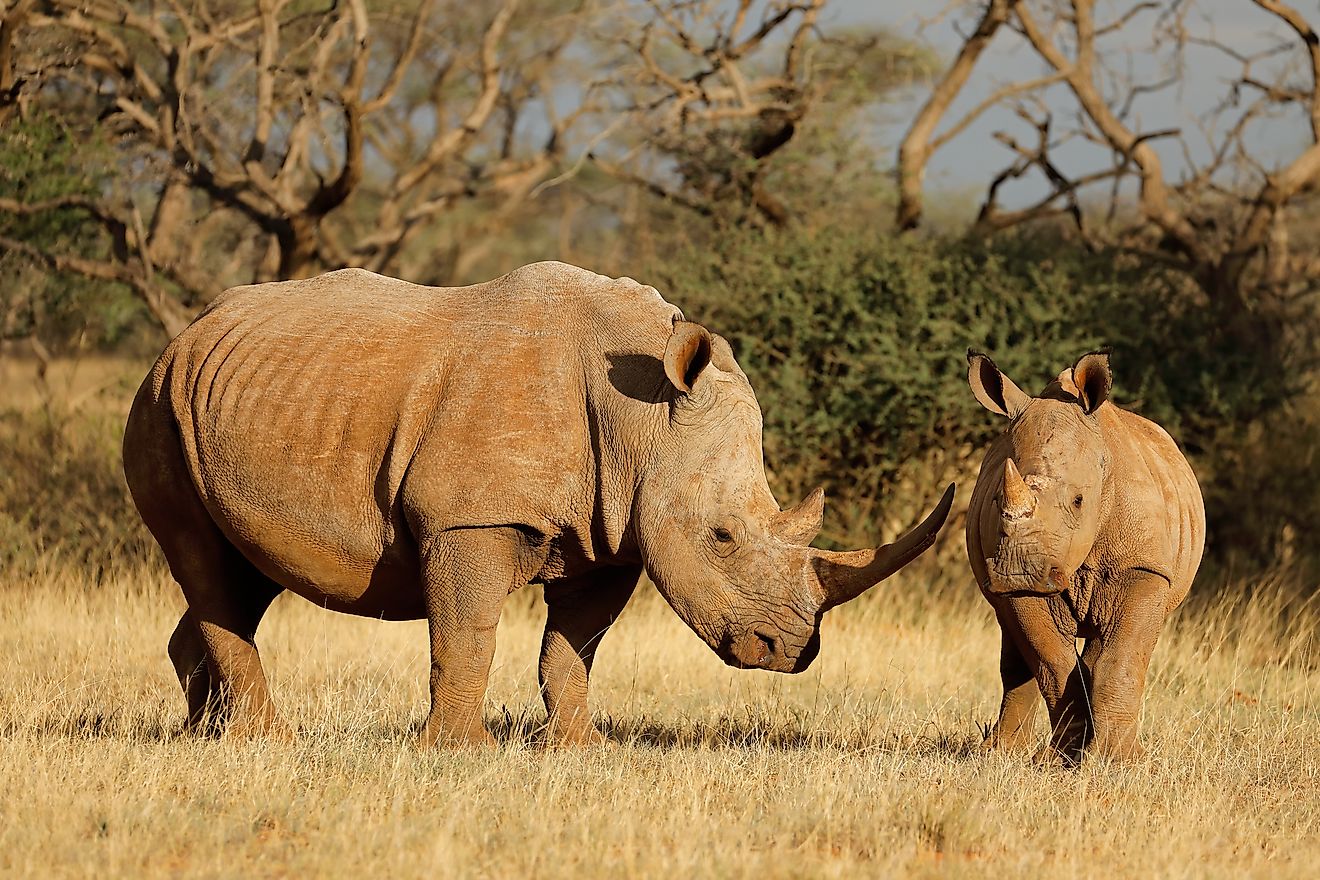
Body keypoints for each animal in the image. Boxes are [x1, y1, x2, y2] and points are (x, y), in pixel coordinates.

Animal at [124, 263, 950, 749]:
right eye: (721, 536)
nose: (790, 652)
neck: (644, 420)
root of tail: (190, 329)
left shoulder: (615, 532)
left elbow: (574, 647)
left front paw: (579, 749)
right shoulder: (470, 518)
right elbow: (466, 636)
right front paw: (460, 752)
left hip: (238, 400)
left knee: (243, 575)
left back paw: (205, 736)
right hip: (160, 400)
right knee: (205, 562)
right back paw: (265, 740)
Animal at [966, 348, 1203, 759]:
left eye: (1079, 500)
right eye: (996, 500)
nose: (1018, 572)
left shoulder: (1144, 568)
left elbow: (1121, 660)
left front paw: (1116, 760)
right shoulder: (1026, 583)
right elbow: (1053, 661)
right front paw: (1060, 760)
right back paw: (998, 752)